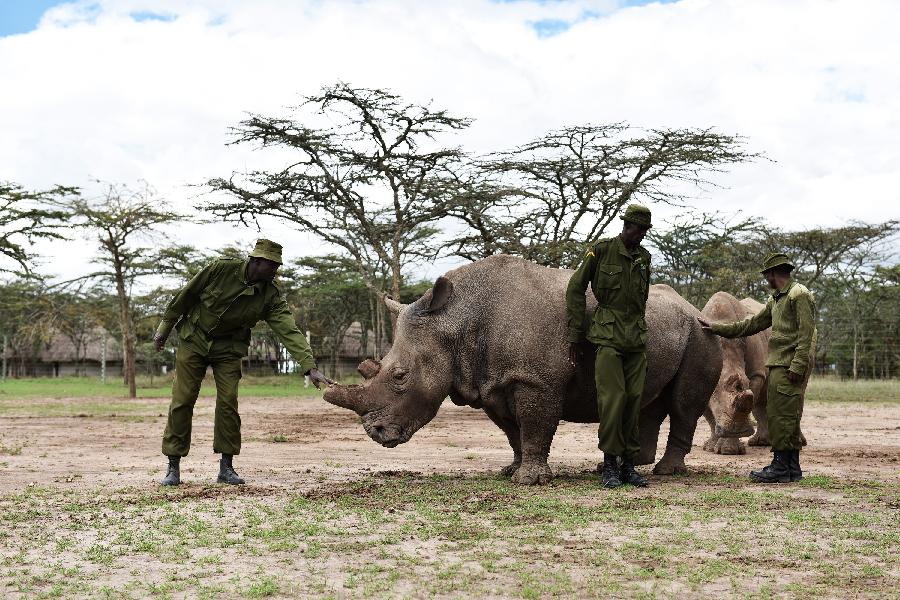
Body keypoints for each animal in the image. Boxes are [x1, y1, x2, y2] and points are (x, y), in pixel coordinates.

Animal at [320, 255, 720, 486]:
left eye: (400, 376)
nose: (375, 433)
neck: (456, 321)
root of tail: (693, 306)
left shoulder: (535, 380)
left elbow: (535, 424)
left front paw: (530, 481)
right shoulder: (491, 383)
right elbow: (513, 431)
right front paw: (511, 471)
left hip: (703, 334)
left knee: (684, 404)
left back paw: (666, 472)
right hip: (674, 330)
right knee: (650, 399)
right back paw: (633, 464)